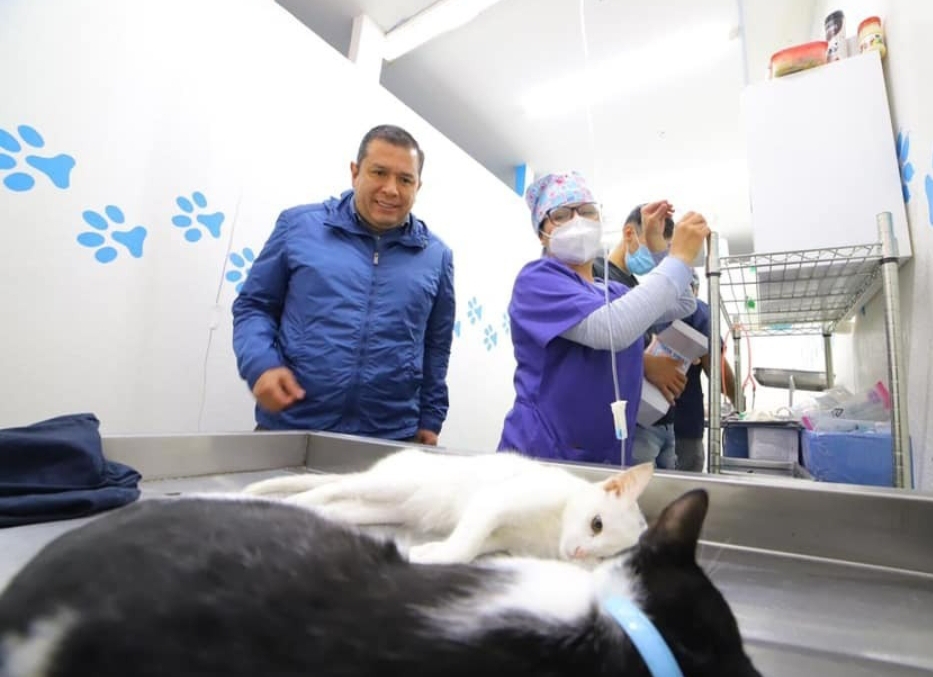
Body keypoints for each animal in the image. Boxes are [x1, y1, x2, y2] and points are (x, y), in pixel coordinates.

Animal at [242, 448, 654, 566]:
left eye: (603, 557)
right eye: (596, 523)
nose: (581, 552)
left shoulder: (499, 536)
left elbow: (470, 546)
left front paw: (432, 551)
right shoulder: (495, 502)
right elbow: (465, 544)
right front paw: (433, 555)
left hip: (382, 508)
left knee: (339, 505)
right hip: (389, 485)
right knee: (333, 486)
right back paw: (283, 501)